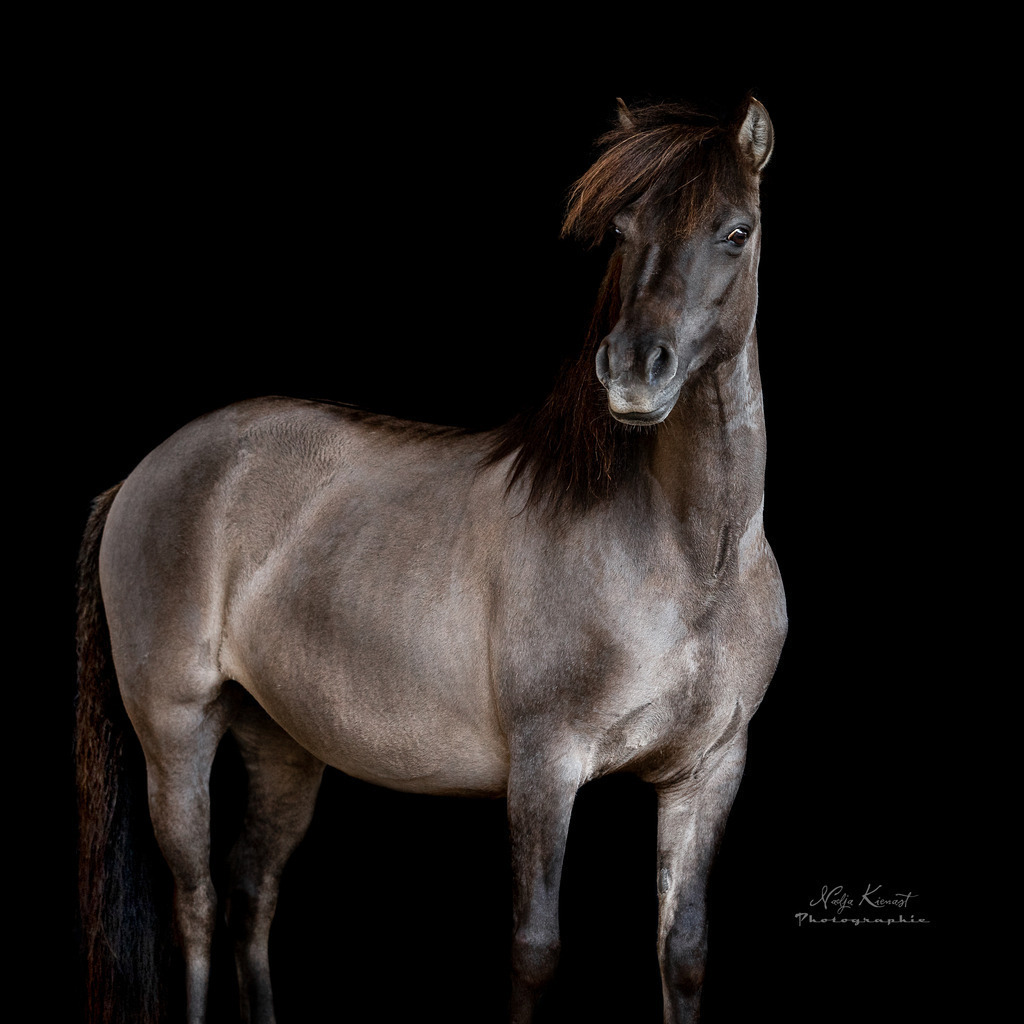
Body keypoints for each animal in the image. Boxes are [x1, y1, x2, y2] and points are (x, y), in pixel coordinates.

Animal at [76, 94, 786, 1024]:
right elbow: (534, 953)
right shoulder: (544, 767)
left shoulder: (708, 773)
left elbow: (686, 953)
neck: (694, 560)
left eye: (736, 231)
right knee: (193, 904)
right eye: (622, 229)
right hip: (175, 729)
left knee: (249, 895)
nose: (635, 370)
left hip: (281, 744)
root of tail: (142, 472)